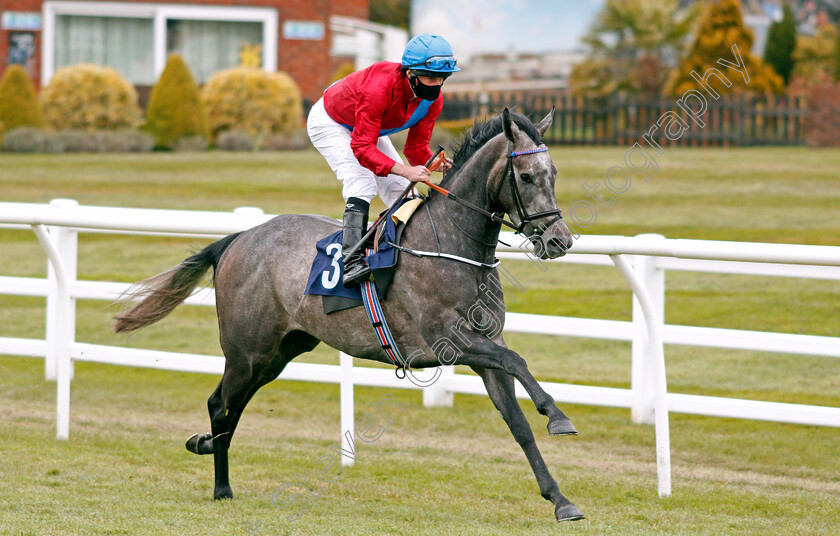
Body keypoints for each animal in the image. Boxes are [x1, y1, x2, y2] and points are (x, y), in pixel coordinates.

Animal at [113, 107, 584, 520]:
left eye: (555, 174)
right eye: (525, 176)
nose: (559, 240)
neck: (453, 246)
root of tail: (239, 238)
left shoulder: (484, 344)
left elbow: (517, 420)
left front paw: (561, 500)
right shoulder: (449, 340)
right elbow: (517, 360)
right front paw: (557, 415)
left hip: (280, 352)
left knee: (233, 405)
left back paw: (207, 446)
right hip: (247, 350)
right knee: (219, 404)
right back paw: (221, 484)